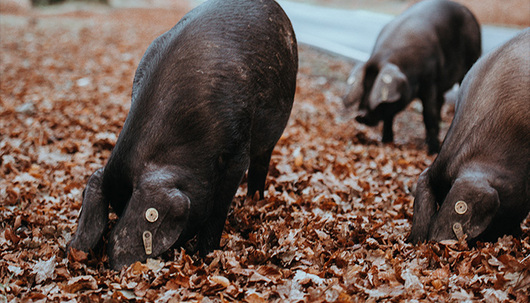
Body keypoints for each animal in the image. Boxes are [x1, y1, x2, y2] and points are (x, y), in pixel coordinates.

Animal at [340, 0, 480, 153]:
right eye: (365, 86)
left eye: (375, 91)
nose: (360, 115)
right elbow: (389, 117)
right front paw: (386, 142)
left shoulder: (430, 81)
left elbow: (428, 115)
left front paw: (432, 152)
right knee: (441, 101)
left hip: (472, 59)